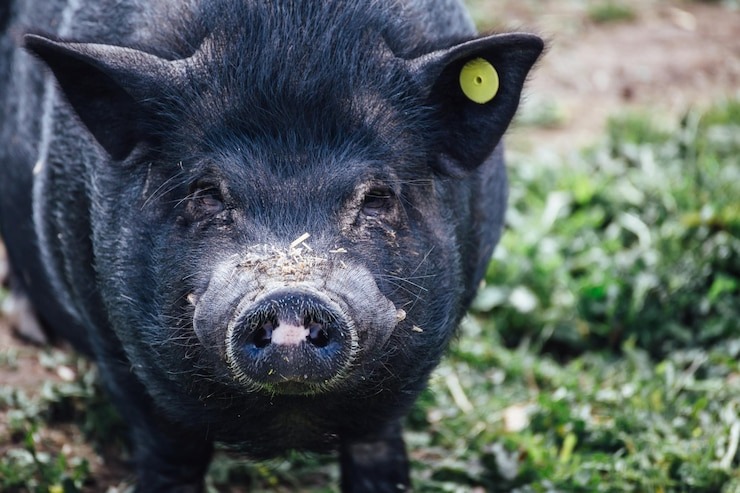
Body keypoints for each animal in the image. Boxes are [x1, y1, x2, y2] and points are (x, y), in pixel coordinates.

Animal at [0, 0, 544, 488]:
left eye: (377, 197)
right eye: (207, 192)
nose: (291, 296)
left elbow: (377, 451)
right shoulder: (115, 347)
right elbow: (170, 455)